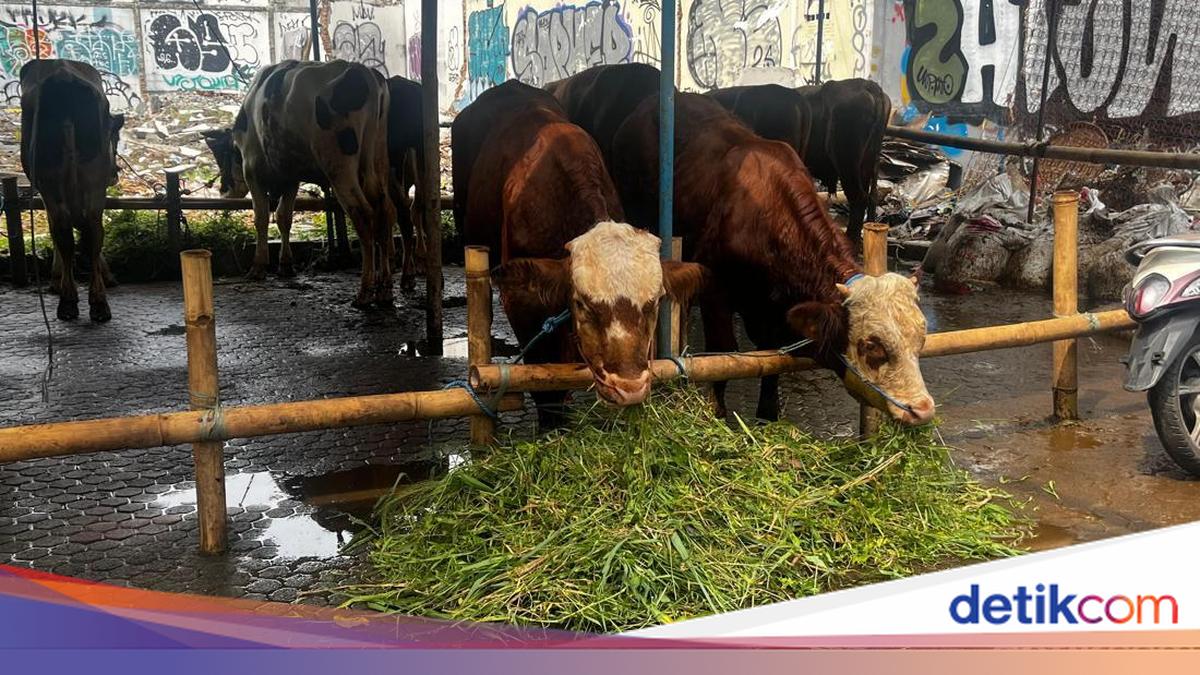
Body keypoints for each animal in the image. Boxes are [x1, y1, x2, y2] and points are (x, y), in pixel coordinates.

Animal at [20, 59, 124, 322]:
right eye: (116, 138)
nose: (115, 174)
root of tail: (63, 76)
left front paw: (56, 280)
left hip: (53, 178)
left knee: (65, 229)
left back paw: (72, 299)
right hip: (90, 178)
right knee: (92, 229)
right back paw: (96, 303)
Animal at [203, 60, 396, 308]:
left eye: (221, 156)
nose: (224, 191)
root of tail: (364, 73)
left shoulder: (253, 172)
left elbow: (262, 218)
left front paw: (258, 267)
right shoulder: (291, 177)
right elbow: (284, 217)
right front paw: (286, 264)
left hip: (339, 167)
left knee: (363, 214)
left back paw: (364, 292)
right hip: (378, 161)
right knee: (385, 212)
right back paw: (384, 290)